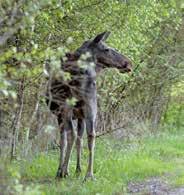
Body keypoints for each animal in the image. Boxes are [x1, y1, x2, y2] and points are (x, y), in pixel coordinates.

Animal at [46, 31, 132, 181]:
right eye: (107, 49)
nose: (128, 63)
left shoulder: (60, 115)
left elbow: (63, 141)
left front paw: (61, 170)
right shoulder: (80, 114)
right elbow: (80, 139)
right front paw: (78, 170)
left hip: (67, 107)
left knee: (72, 134)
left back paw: (64, 171)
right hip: (91, 106)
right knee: (91, 135)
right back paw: (89, 174)